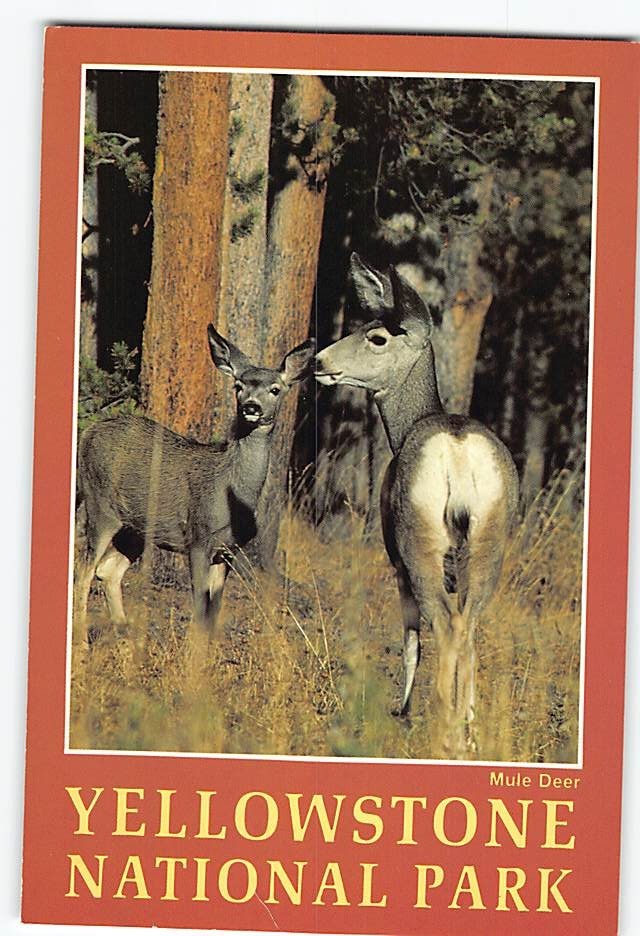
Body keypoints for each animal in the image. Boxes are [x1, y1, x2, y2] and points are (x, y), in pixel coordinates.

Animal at [74, 325, 315, 640]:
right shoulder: (198, 538)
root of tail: (88, 432)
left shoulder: (227, 552)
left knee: (107, 570)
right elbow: (200, 607)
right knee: (84, 571)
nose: (251, 407)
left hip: (136, 526)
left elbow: (214, 611)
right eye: (238, 386)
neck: (231, 494)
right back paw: (83, 642)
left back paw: (123, 635)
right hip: (100, 505)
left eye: (275, 389)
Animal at [315, 254, 519, 757]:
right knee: (468, 624)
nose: (319, 362)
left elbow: (411, 642)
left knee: (443, 624)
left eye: (377, 336)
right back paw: (465, 730)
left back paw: (442, 730)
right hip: (489, 540)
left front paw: (403, 710)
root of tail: (458, 453)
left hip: (418, 537)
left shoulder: (395, 560)